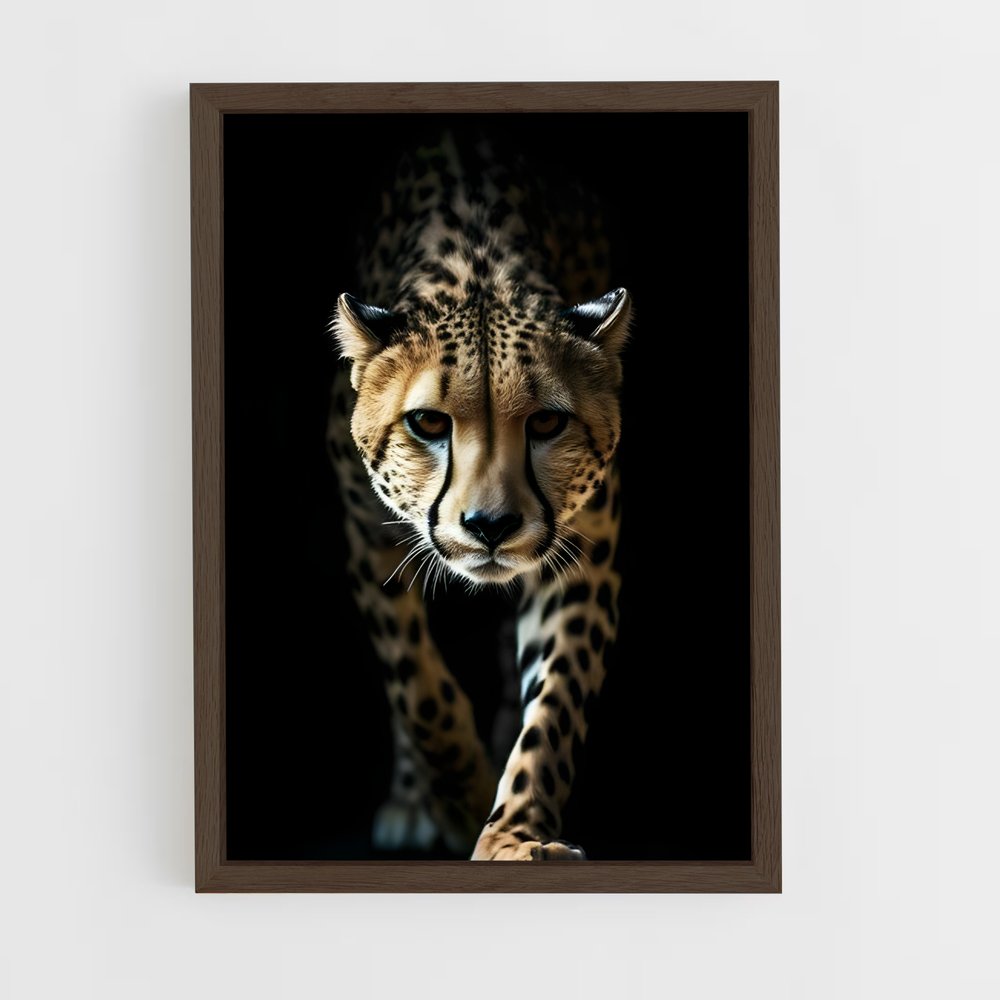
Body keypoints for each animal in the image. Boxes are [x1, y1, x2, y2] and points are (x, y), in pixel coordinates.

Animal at [326, 131, 629, 861]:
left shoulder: (584, 548)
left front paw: (513, 835)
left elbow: (554, 703)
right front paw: (460, 794)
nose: (490, 525)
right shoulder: (366, 536)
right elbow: (416, 685)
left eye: (546, 422)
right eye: (428, 423)